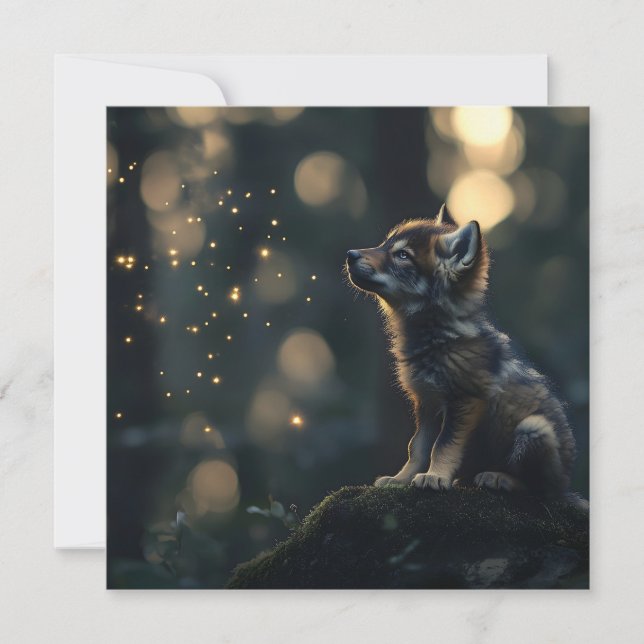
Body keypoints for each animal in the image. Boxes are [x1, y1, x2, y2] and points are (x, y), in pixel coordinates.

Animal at [346, 204, 587, 510]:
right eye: (385, 245)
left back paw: (499, 478)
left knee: (538, 492)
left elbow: (442, 446)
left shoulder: (465, 401)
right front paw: (401, 480)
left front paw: (434, 477)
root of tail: (566, 488)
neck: (436, 340)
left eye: (402, 255)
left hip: (534, 430)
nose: (350, 254)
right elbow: (417, 448)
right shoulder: (427, 403)